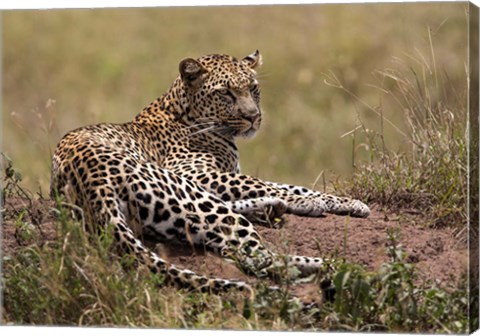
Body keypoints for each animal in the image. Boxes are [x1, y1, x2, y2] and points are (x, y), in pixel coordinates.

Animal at [50, 50, 370, 296]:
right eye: (225, 93)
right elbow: (269, 184)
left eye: (253, 88)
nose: (253, 117)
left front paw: (344, 202)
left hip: (171, 213)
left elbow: (279, 184)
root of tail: (92, 180)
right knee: (257, 258)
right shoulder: (196, 172)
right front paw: (320, 202)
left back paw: (271, 210)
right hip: (181, 188)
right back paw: (334, 264)